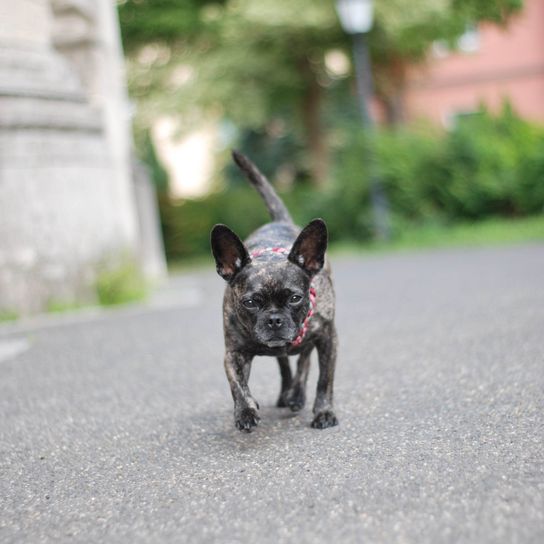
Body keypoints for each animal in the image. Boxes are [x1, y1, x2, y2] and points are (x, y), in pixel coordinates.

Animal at [210, 151, 338, 432]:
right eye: (249, 303)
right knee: (284, 364)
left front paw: (324, 412)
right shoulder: (233, 353)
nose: (274, 319)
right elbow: (237, 384)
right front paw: (245, 410)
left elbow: (324, 379)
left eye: (295, 298)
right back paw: (287, 393)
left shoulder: (327, 338)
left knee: (303, 360)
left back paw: (296, 395)